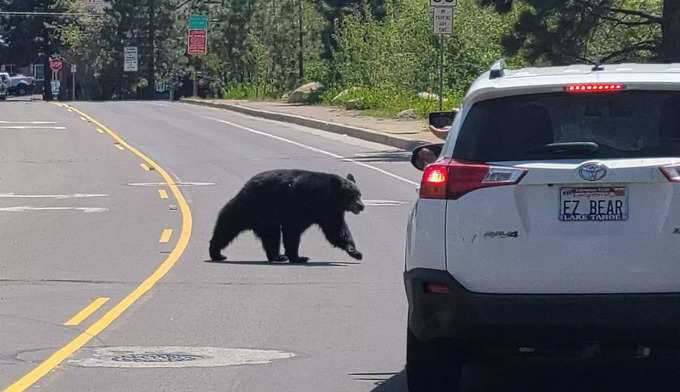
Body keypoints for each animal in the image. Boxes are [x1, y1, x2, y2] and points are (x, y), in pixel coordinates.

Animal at [209, 169, 364, 264]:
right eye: (352, 195)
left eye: (359, 194)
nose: (362, 206)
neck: (328, 197)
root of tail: (246, 185)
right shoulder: (302, 203)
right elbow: (293, 229)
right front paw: (298, 257)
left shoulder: (329, 212)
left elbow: (336, 230)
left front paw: (355, 251)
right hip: (252, 206)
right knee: (228, 225)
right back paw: (217, 253)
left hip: (265, 218)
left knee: (271, 236)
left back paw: (277, 256)